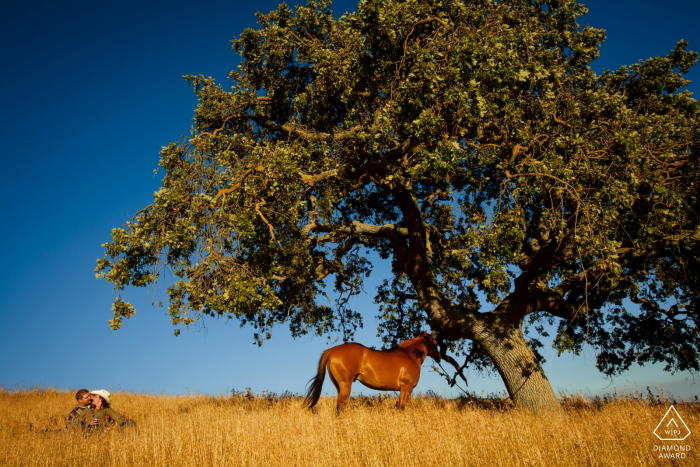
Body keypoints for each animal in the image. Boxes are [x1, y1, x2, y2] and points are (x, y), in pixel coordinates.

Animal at [304, 330, 440, 412]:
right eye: (435, 342)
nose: (439, 357)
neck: (409, 354)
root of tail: (332, 350)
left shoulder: (407, 389)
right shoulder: (407, 387)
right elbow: (401, 407)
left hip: (338, 387)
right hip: (345, 385)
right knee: (342, 408)